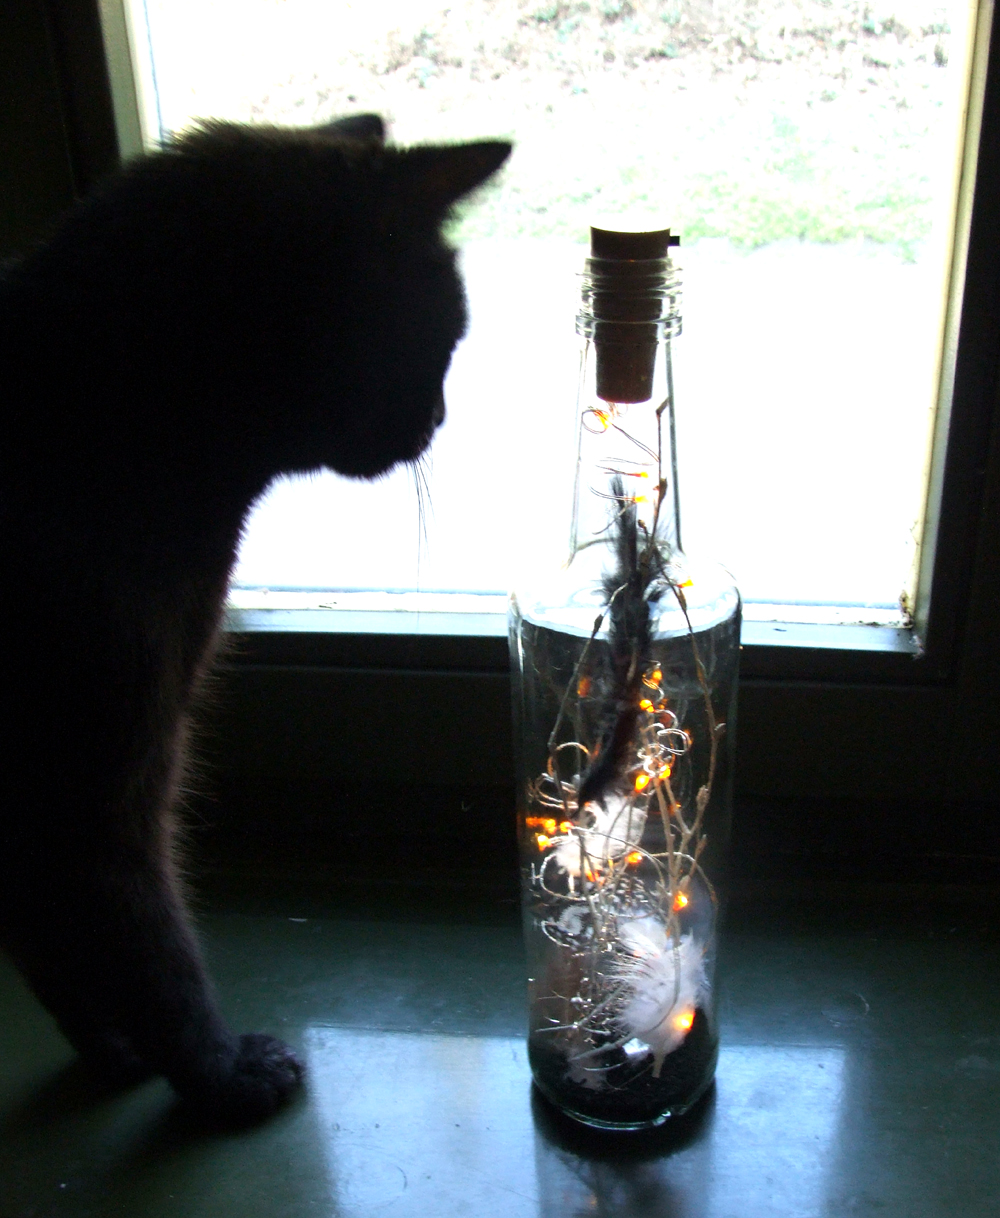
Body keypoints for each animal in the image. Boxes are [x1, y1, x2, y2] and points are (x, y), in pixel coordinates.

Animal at [0, 113, 511, 1126]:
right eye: (445, 337)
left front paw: (114, 1052)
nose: (437, 418)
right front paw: (216, 1076)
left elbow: (57, 947)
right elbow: (155, 947)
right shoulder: (101, 779)